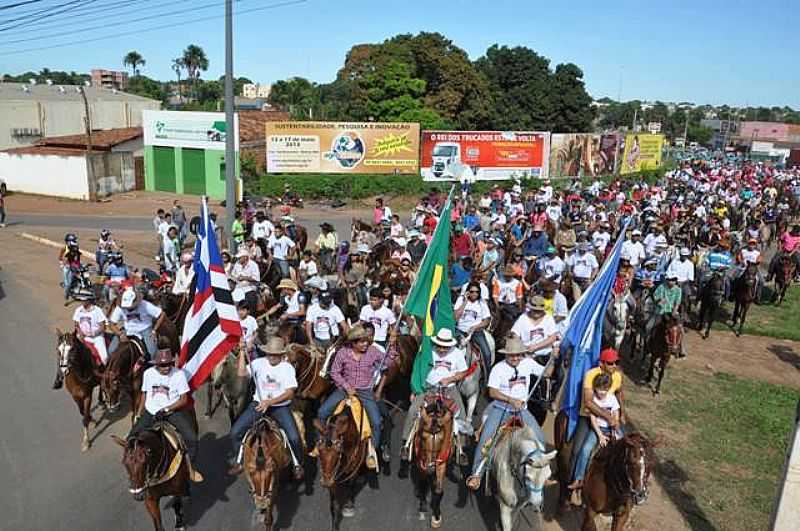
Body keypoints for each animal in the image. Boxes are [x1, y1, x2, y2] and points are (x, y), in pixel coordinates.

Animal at [412, 390, 456, 528]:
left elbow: (438, 490)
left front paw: (436, 516)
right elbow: (422, 485)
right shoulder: (420, 464)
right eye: (423, 437)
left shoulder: (441, 463)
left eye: (442, 440)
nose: (431, 468)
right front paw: (422, 505)